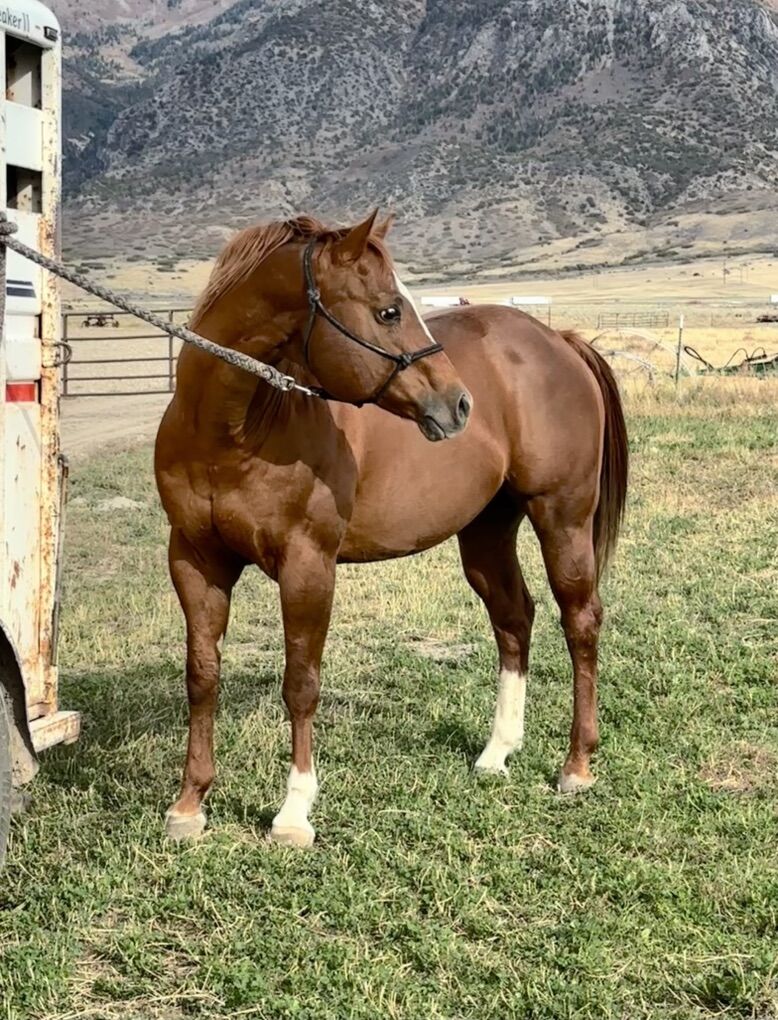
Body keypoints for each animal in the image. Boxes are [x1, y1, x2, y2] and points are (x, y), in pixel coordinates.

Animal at [154, 211, 628, 848]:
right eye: (388, 311)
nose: (459, 404)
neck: (231, 434)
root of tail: (561, 342)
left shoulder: (307, 566)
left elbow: (300, 683)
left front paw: (294, 813)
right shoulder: (195, 561)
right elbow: (202, 676)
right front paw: (189, 804)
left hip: (562, 516)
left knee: (580, 621)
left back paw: (576, 765)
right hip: (487, 531)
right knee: (514, 620)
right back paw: (496, 752)